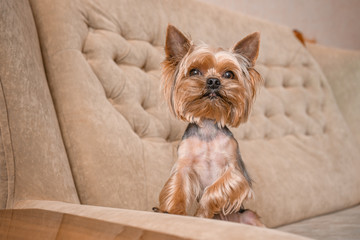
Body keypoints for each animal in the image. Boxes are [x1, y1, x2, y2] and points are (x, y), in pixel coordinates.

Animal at [154, 24, 264, 227]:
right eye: (194, 71)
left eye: (228, 74)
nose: (213, 81)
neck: (208, 127)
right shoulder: (184, 165)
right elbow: (178, 187)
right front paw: (174, 212)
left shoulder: (234, 172)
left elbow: (213, 190)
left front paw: (201, 214)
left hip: (248, 215)